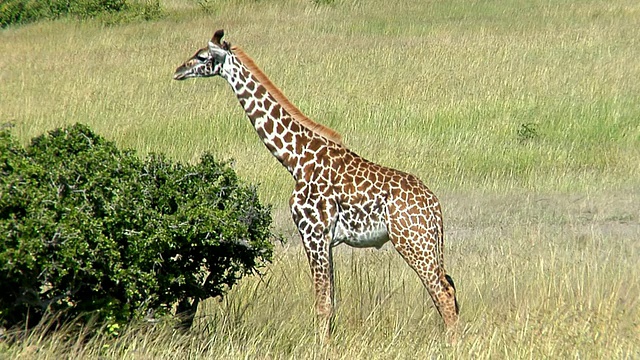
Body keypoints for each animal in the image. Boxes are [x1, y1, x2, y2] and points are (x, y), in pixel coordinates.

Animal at [172, 28, 458, 340]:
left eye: (202, 57)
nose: (178, 70)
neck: (296, 159)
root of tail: (435, 206)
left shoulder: (313, 233)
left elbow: (322, 305)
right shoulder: (326, 240)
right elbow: (329, 302)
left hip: (412, 239)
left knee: (443, 293)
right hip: (425, 241)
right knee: (449, 288)